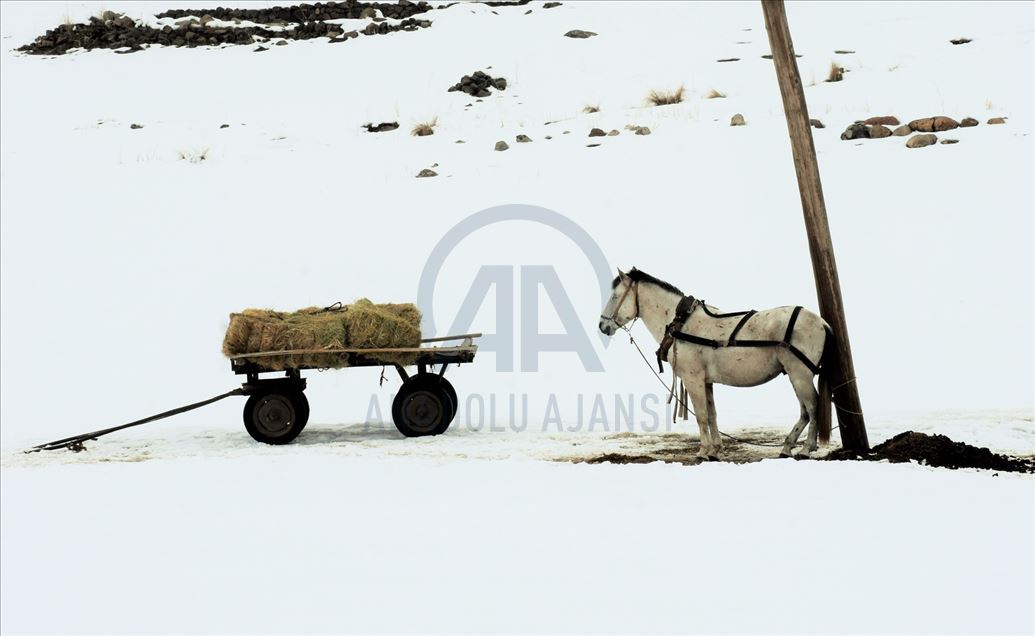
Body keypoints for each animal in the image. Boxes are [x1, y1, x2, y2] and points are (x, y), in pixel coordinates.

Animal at [600, 267, 832, 457]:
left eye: (614, 296)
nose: (602, 326)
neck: (683, 324)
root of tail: (822, 322)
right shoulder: (706, 381)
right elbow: (712, 415)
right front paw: (716, 450)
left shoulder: (693, 380)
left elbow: (701, 415)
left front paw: (703, 451)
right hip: (795, 375)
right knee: (804, 411)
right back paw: (788, 446)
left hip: (800, 374)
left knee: (812, 406)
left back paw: (806, 447)